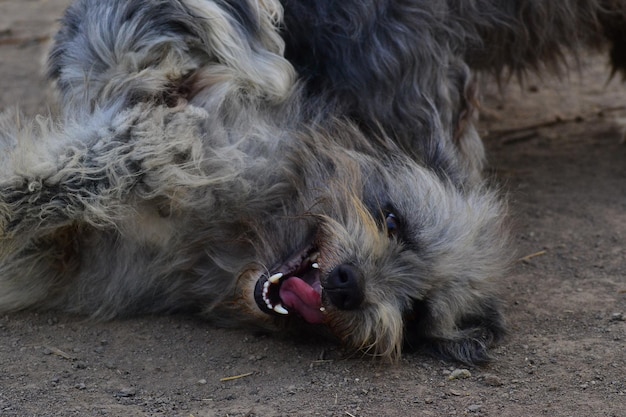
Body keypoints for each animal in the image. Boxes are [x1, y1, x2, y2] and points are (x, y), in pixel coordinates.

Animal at [0, 0, 620, 362]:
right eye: (392, 219)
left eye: (416, 312)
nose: (347, 286)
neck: (235, 234)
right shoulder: (188, 136)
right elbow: (86, 170)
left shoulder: (69, 260)